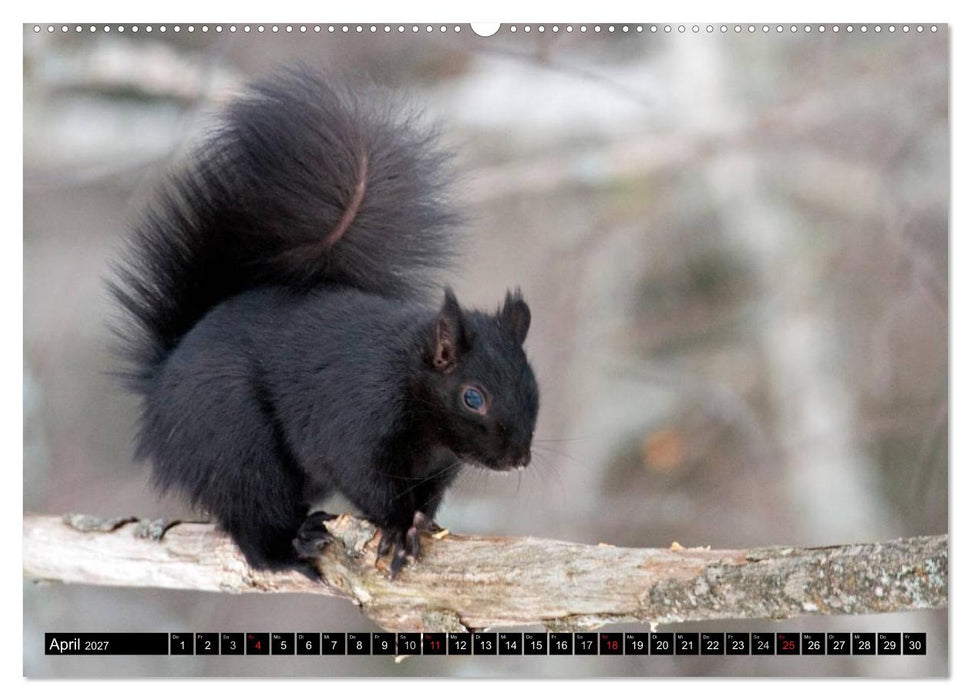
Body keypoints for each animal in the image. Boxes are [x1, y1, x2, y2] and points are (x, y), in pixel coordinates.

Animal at [110, 68, 539, 579]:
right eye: (473, 397)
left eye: (533, 386)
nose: (519, 459)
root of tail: (158, 387)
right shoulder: (353, 427)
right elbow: (367, 483)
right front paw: (398, 528)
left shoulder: (437, 469)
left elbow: (427, 498)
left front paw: (422, 523)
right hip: (233, 438)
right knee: (253, 522)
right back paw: (293, 547)